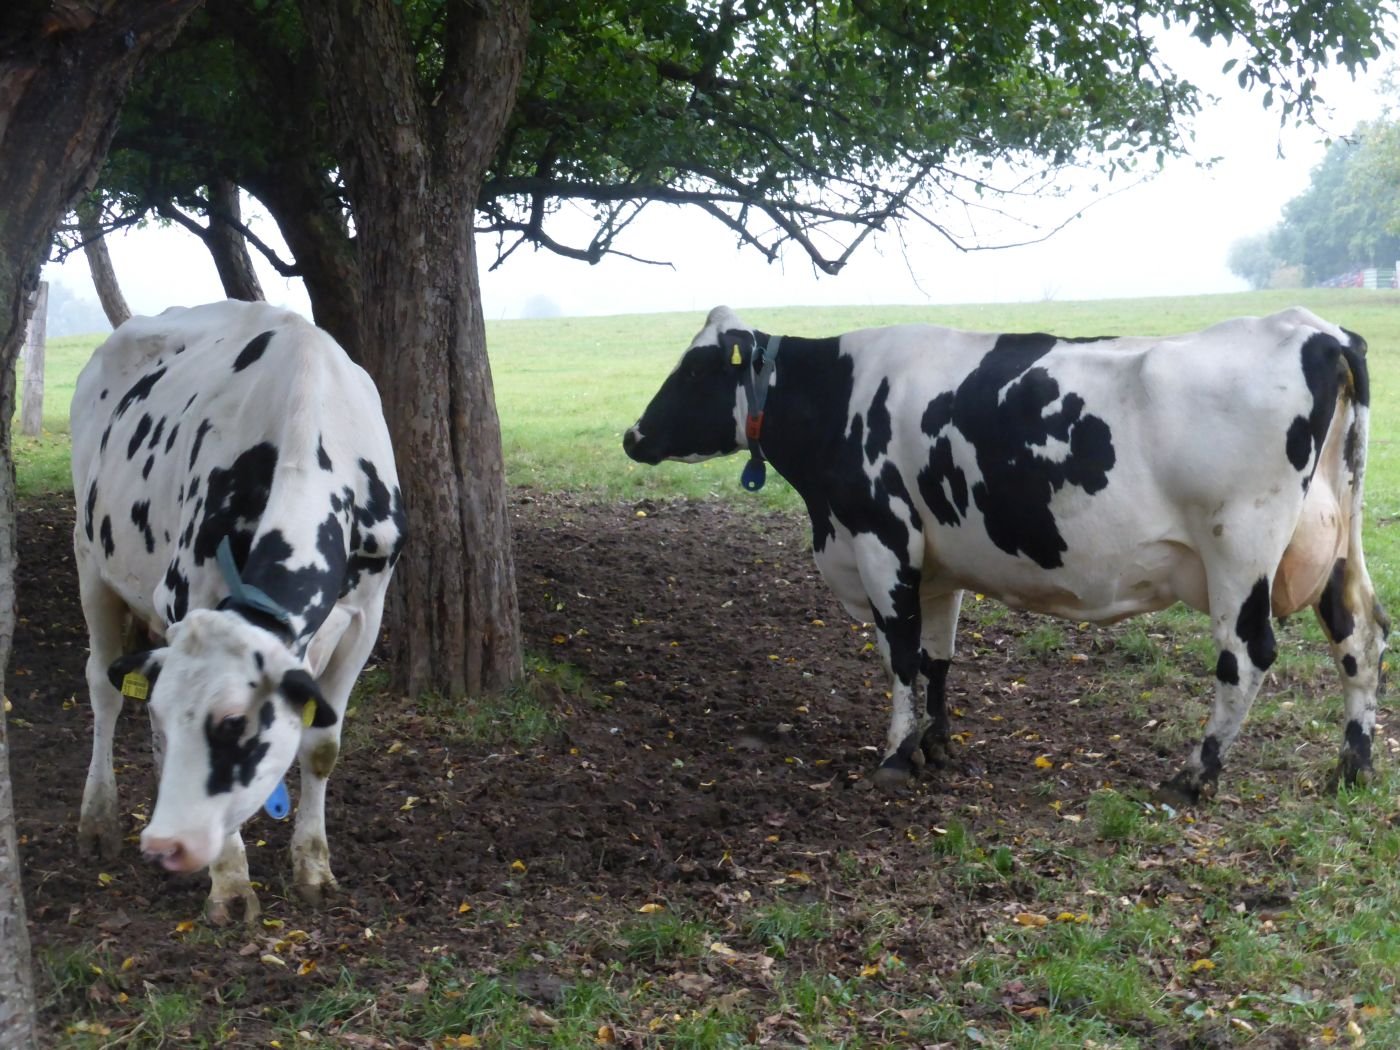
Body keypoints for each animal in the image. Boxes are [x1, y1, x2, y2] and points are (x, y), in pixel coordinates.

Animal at [72, 300, 406, 923]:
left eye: (233, 721)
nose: (169, 845)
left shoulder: (365, 617)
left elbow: (322, 746)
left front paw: (314, 868)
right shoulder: (182, 596)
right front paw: (229, 884)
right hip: (91, 561)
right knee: (104, 687)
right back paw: (99, 820)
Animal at [624, 305, 1388, 802]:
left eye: (695, 372)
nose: (633, 436)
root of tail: (1315, 330)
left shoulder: (882, 538)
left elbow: (899, 655)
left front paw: (896, 755)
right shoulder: (938, 563)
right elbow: (937, 657)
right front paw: (935, 744)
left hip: (1240, 546)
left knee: (1246, 654)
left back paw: (1194, 776)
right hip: (1332, 543)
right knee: (1360, 635)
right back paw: (1351, 768)